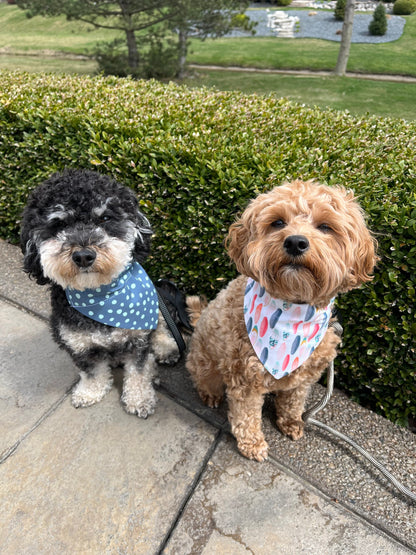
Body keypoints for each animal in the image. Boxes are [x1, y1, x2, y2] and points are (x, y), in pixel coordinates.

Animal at [186, 181, 376, 460]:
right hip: (205, 362)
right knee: (205, 379)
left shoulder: (304, 375)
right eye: (277, 222)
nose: (296, 242)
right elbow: (246, 416)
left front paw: (291, 422)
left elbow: (293, 402)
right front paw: (253, 444)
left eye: (325, 226)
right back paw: (210, 394)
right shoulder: (245, 378)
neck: (292, 309)